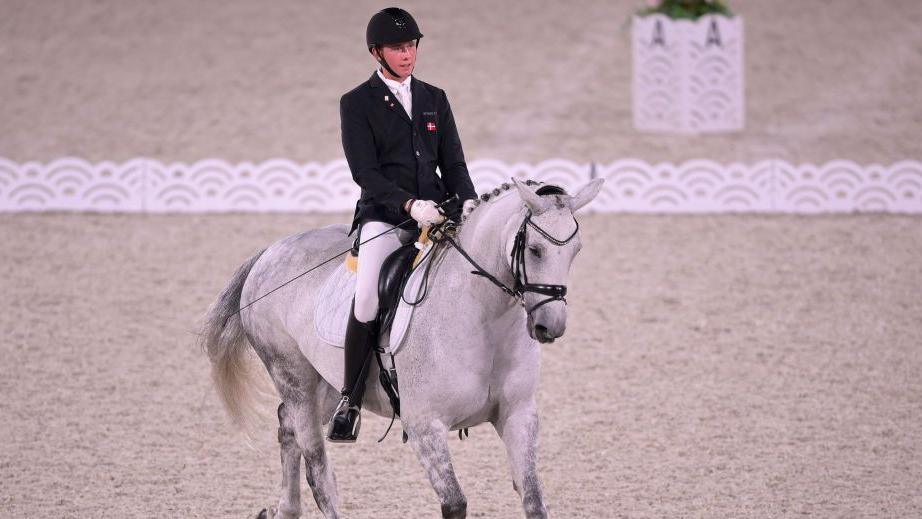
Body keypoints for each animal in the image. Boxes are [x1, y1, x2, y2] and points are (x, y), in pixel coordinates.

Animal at [200, 180, 600, 519]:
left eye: (577, 251)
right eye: (534, 249)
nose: (551, 326)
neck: (483, 317)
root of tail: (270, 252)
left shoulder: (518, 416)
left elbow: (533, 500)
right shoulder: (424, 427)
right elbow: (455, 503)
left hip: (324, 385)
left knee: (288, 426)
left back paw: (285, 510)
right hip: (293, 375)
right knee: (318, 468)